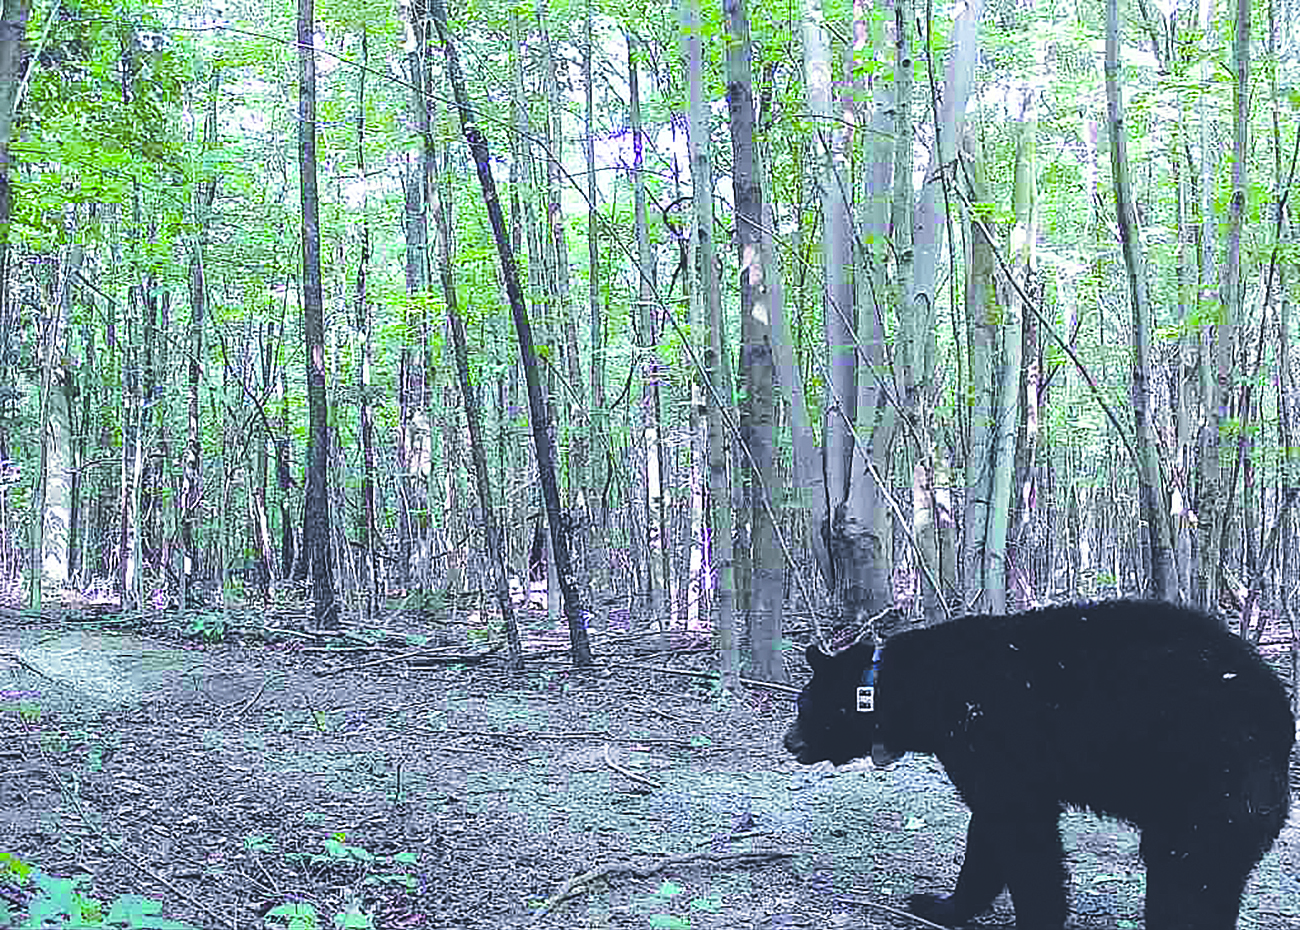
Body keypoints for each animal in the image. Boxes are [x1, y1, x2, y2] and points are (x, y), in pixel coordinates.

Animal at [783, 599, 1294, 930]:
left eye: (804, 705)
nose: (789, 741)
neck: (911, 688)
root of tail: (1281, 719)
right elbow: (989, 832)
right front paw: (942, 905)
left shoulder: (992, 738)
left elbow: (1022, 838)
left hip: (1208, 785)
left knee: (1188, 876)